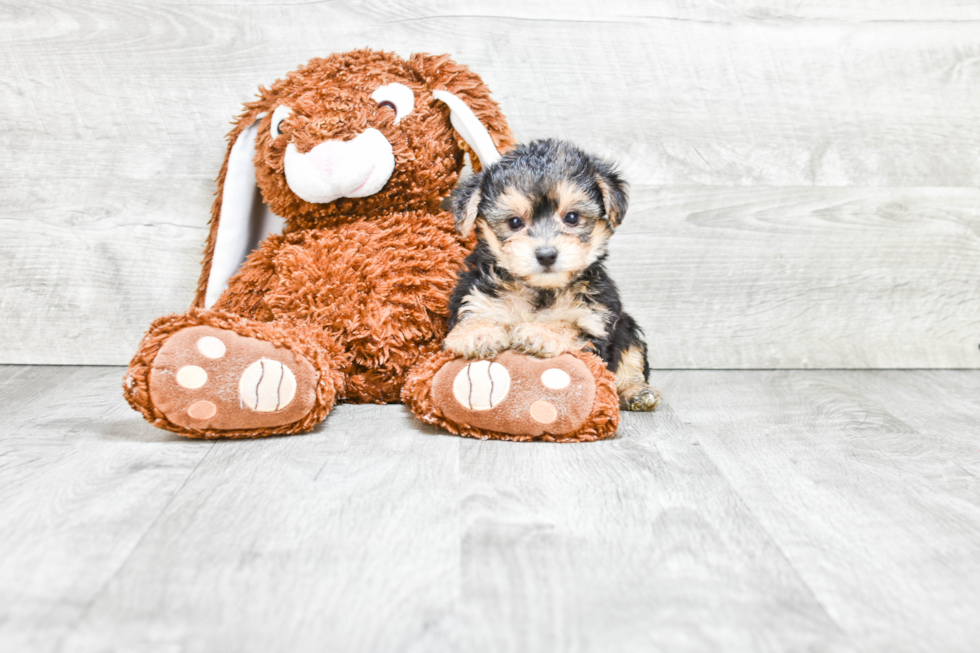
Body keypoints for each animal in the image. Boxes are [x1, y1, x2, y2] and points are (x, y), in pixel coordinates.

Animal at [444, 138, 660, 410]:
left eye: (572, 217)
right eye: (514, 222)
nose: (546, 255)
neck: (541, 290)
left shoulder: (594, 320)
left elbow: (570, 326)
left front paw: (541, 332)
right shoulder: (475, 298)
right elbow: (474, 317)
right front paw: (478, 333)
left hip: (626, 328)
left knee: (631, 356)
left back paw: (637, 392)